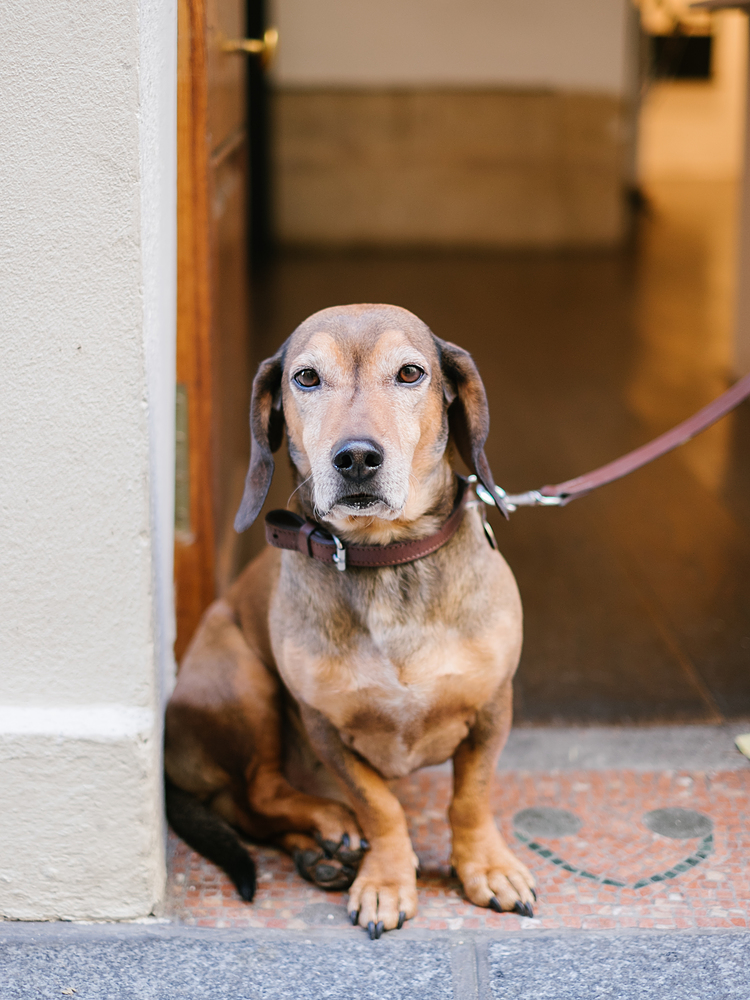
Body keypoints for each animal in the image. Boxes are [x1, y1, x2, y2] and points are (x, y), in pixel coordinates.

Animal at [167, 304, 536, 936]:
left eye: (410, 373)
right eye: (306, 378)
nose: (357, 457)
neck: (384, 558)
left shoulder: (493, 707)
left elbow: (471, 797)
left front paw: (485, 867)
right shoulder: (326, 726)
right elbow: (378, 806)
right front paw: (387, 880)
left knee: (246, 811)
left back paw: (318, 855)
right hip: (243, 677)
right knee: (260, 793)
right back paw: (331, 824)